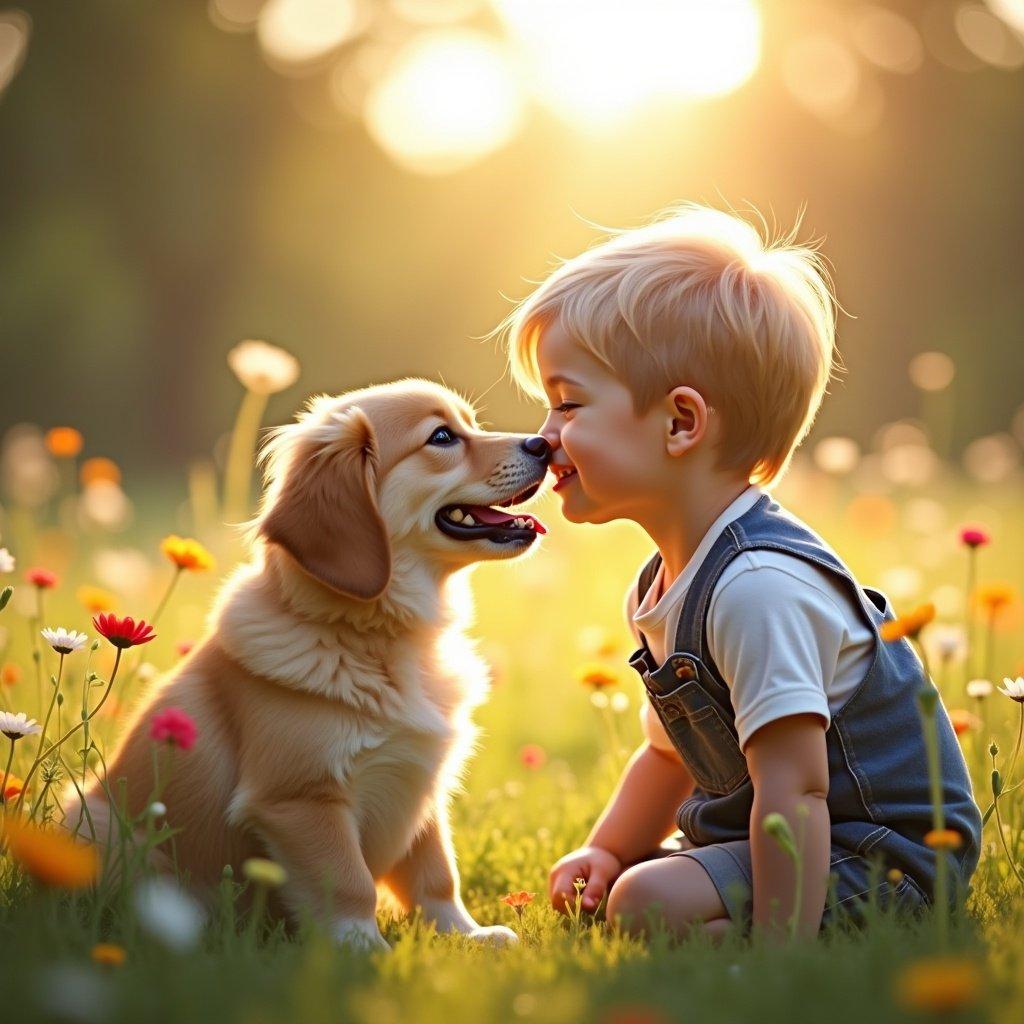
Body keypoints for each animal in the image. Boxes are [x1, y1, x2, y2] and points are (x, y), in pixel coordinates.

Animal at [67, 380, 548, 946]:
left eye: (469, 424)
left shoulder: (418, 785)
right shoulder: (301, 799)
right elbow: (349, 883)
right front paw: (364, 949)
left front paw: (465, 936)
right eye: (442, 437)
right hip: (97, 828)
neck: (381, 640)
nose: (544, 444)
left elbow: (436, 875)